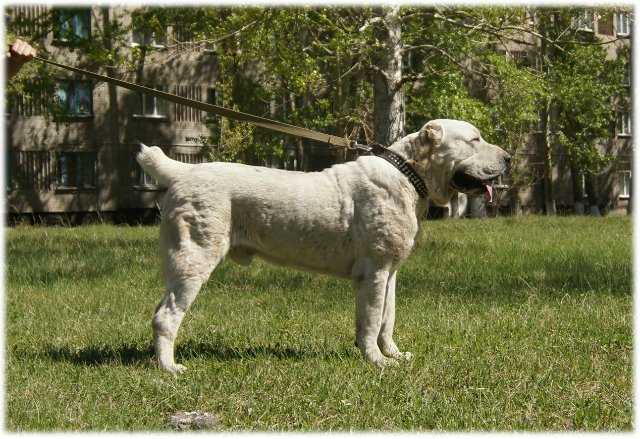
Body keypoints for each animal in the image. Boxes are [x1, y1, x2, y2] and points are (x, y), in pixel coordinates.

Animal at [139, 119, 510, 374]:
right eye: (474, 139)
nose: (508, 158)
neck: (408, 175)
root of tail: (183, 172)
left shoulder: (390, 272)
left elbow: (387, 318)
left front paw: (392, 354)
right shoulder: (375, 271)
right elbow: (372, 319)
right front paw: (377, 362)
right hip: (194, 258)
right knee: (166, 316)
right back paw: (170, 368)